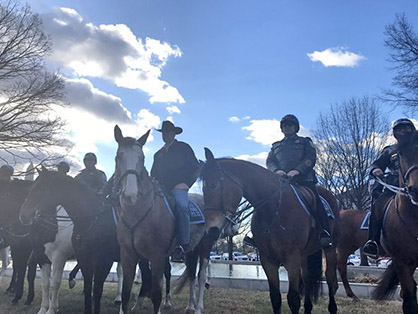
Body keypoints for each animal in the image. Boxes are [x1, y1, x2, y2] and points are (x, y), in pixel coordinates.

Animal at [19, 169, 121, 314]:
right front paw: (44, 308)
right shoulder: (42, 257)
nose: (23, 215)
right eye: (31, 189)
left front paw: (52, 309)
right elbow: (46, 284)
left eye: (42, 188)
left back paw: (118, 298)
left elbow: (55, 283)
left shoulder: (59, 257)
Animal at [113, 125, 207, 314]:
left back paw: (198, 306)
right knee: (191, 275)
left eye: (142, 158)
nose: (130, 195)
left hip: (205, 248)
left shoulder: (156, 256)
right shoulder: (128, 255)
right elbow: (125, 294)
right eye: (118, 157)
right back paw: (191, 305)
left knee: (200, 277)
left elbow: (156, 294)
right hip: (191, 250)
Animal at [198, 149, 340, 314]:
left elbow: (293, 299)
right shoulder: (268, 259)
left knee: (331, 279)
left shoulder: (291, 258)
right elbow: (275, 297)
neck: (274, 208)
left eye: (214, 185)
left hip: (330, 249)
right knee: (308, 279)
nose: (210, 230)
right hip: (305, 255)